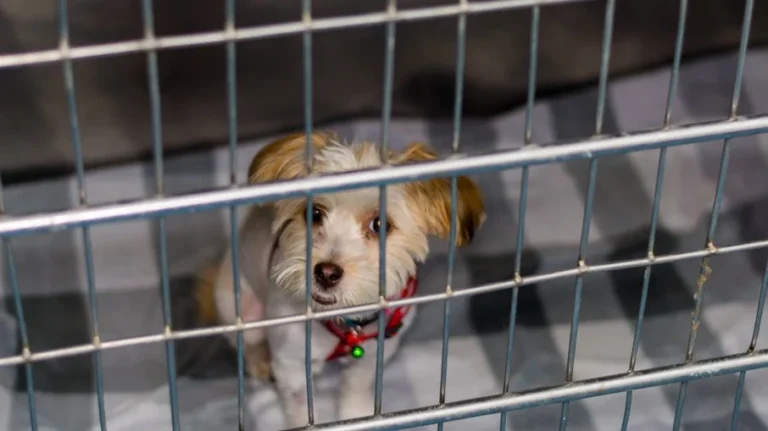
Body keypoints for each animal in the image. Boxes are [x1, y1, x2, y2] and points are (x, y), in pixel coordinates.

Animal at [196, 132, 486, 428]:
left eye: (380, 225)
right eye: (313, 213)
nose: (325, 273)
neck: (344, 322)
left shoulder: (373, 354)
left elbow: (356, 391)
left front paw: (356, 416)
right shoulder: (291, 364)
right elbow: (301, 409)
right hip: (240, 308)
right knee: (246, 342)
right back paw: (259, 363)